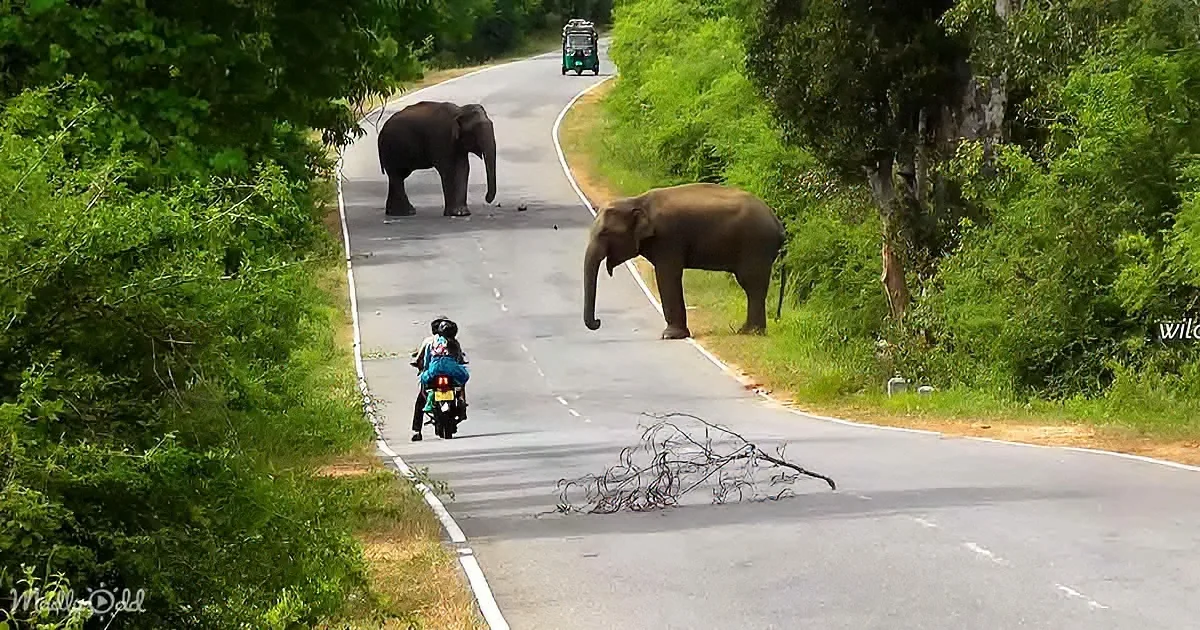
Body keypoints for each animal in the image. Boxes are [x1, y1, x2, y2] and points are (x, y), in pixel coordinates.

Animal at [583, 182, 789, 340]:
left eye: (604, 233)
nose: (598, 322)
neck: (637, 201)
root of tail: (779, 225)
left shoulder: (668, 238)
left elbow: (667, 276)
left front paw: (670, 336)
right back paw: (746, 331)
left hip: (755, 246)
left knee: (752, 285)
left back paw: (750, 332)